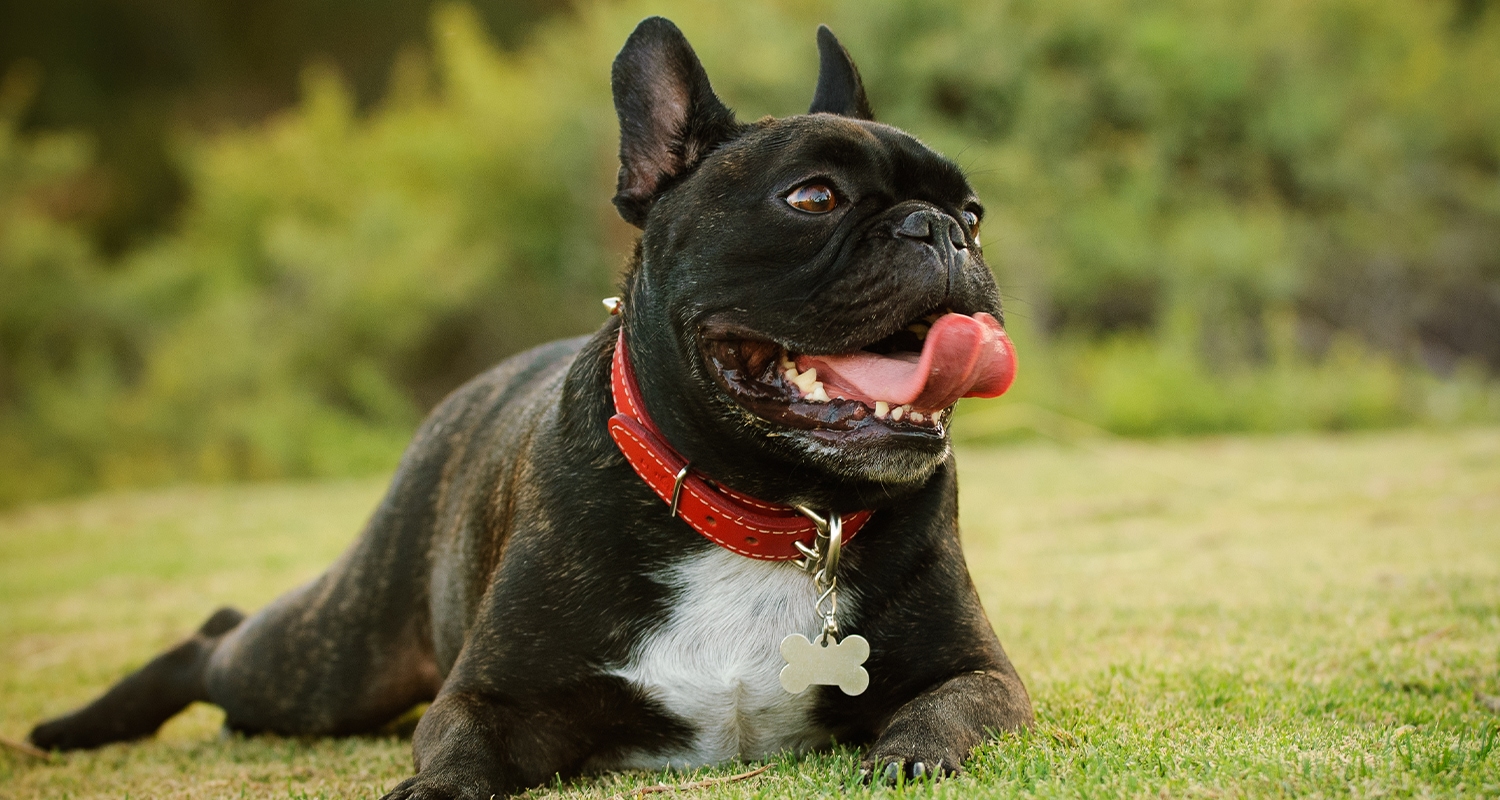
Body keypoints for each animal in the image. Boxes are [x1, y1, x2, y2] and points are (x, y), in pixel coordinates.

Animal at [29, 15, 1032, 792]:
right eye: (813, 197)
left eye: (975, 211)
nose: (941, 229)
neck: (762, 512)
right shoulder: (489, 698)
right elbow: (461, 750)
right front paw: (432, 790)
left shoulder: (980, 675)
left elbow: (944, 716)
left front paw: (908, 755)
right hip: (336, 661)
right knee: (218, 640)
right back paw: (73, 728)